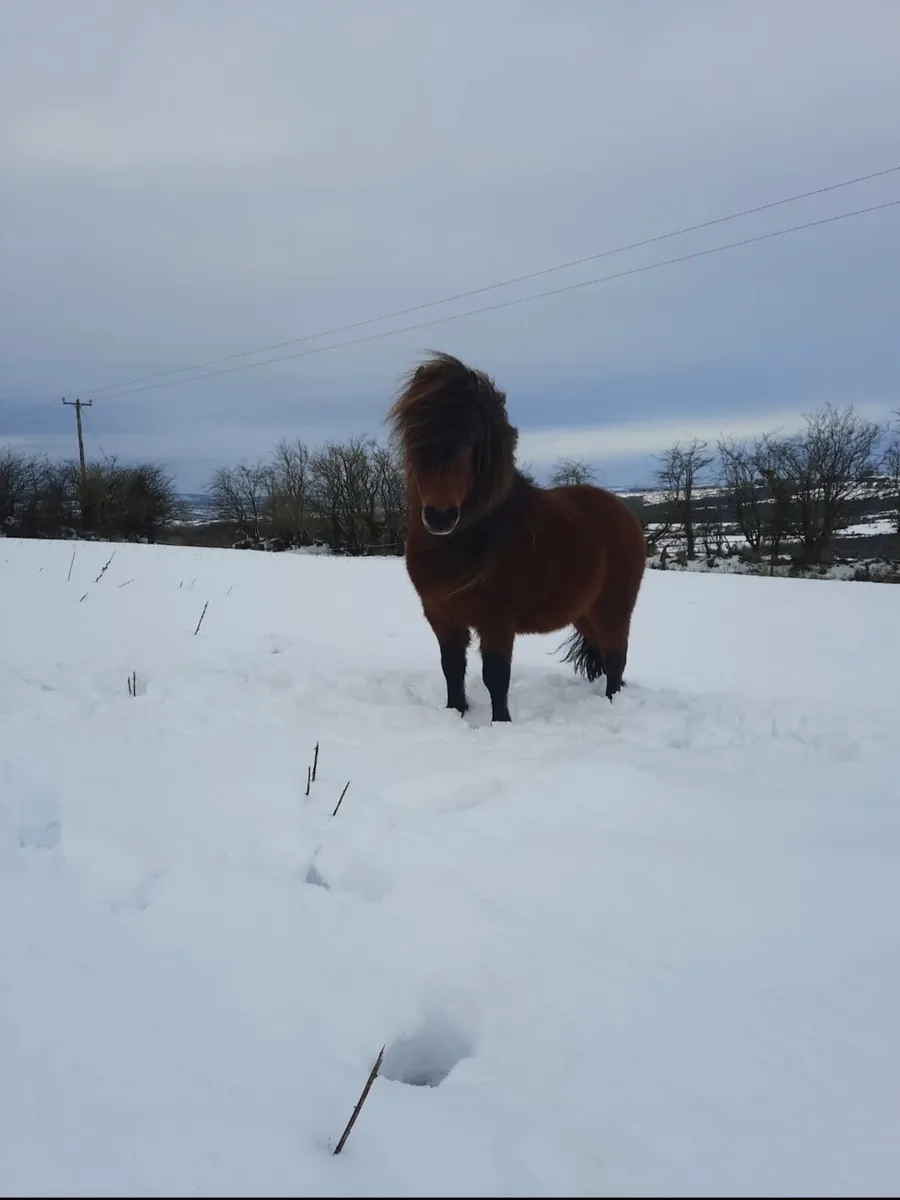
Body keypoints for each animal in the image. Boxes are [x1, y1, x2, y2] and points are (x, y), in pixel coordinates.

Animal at [387, 351, 647, 723]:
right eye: (416, 436)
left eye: (471, 440)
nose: (439, 517)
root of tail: (623, 511)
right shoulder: (442, 617)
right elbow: (452, 668)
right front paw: (456, 712)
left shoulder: (497, 621)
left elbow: (496, 676)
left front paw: (501, 723)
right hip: (583, 612)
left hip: (611, 607)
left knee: (616, 656)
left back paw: (612, 704)